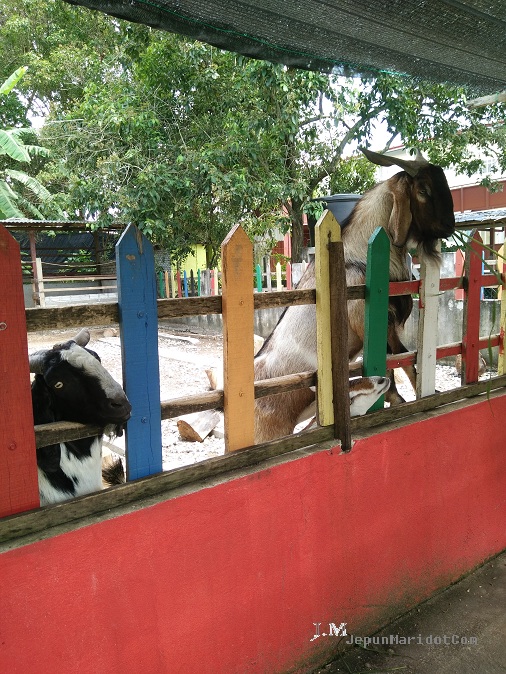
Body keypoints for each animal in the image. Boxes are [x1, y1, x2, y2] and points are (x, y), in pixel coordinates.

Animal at [255, 148, 456, 440]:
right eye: (423, 189)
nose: (450, 226)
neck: (358, 258)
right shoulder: (370, 321)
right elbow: (394, 360)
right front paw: (397, 400)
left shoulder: (391, 324)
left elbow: (404, 357)